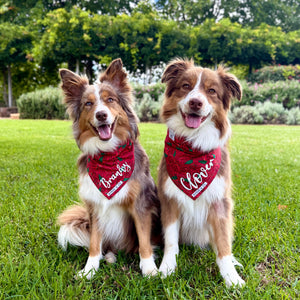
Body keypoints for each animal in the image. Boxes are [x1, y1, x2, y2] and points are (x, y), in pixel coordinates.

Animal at [58, 58, 162, 278]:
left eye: (110, 100)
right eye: (88, 103)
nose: (101, 115)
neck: (110, 155)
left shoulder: (141, 204)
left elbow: (144, 240)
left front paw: (149, 269)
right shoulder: (95, 206)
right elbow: (94, 242)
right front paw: (89, 270)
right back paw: (110, 256)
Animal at [158, 58, 245, 286]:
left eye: (212, 91)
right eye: (186, 86)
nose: (195, 103)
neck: (193, 146)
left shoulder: (219, 202)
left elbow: (223, 243)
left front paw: (231, 277)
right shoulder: (169, 200)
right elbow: (171, 241)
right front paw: (167, 267)